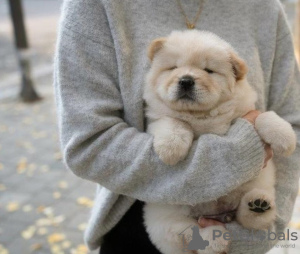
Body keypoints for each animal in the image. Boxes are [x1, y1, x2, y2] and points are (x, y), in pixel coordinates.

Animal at [144, 30, 298, 254]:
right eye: (173, 68)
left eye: (208, 70)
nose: (186, 80)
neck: (200, 116)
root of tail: (219, 215)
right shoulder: (157, 118)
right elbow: (174, 122)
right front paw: (170, 150)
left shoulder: (245, 112)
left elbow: (263, 116)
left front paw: (285, 137)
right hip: (165, 217)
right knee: (190, 232)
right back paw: (214, 238)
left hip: (255, 186)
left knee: (248, 219)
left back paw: (257, 206)